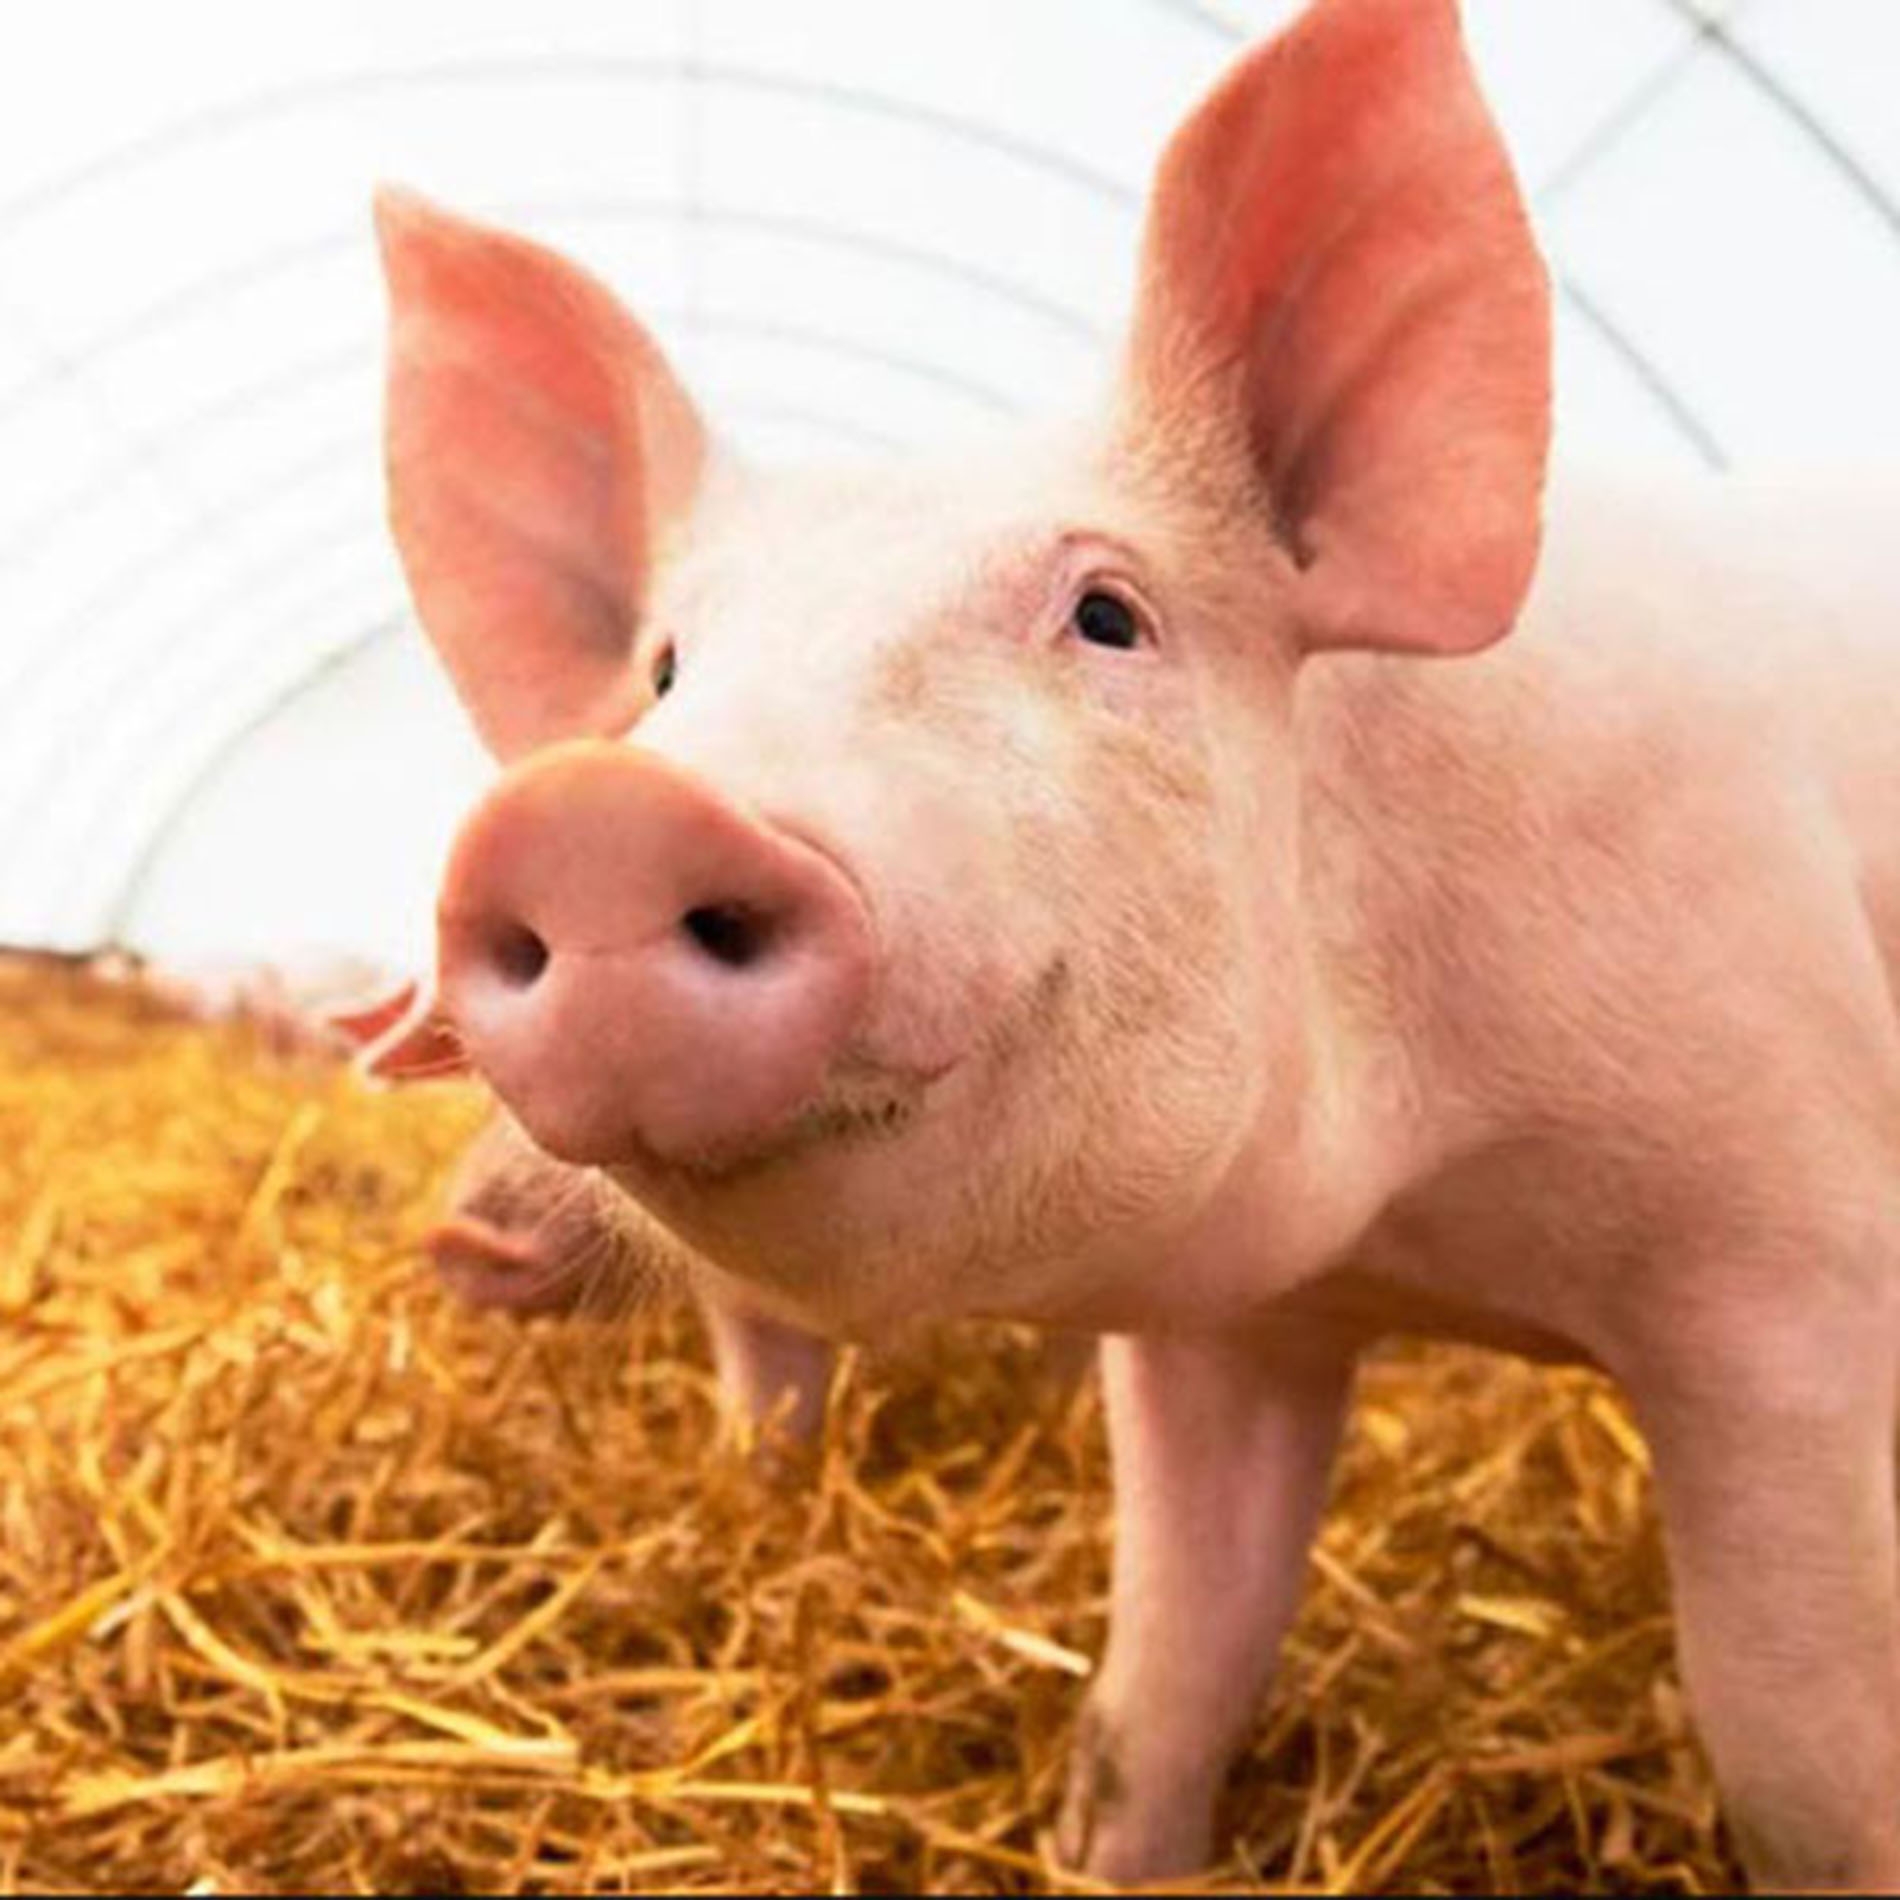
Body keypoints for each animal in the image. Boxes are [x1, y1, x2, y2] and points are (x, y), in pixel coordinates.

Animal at [368, 0, 1900, 1883]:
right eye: (666, 670)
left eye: (1109, 615)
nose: (594, 815)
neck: (1428, 1221)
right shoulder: (1223, 1332)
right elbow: (1159, 1686)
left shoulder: (1792, 1256)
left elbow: (1795, 1749)